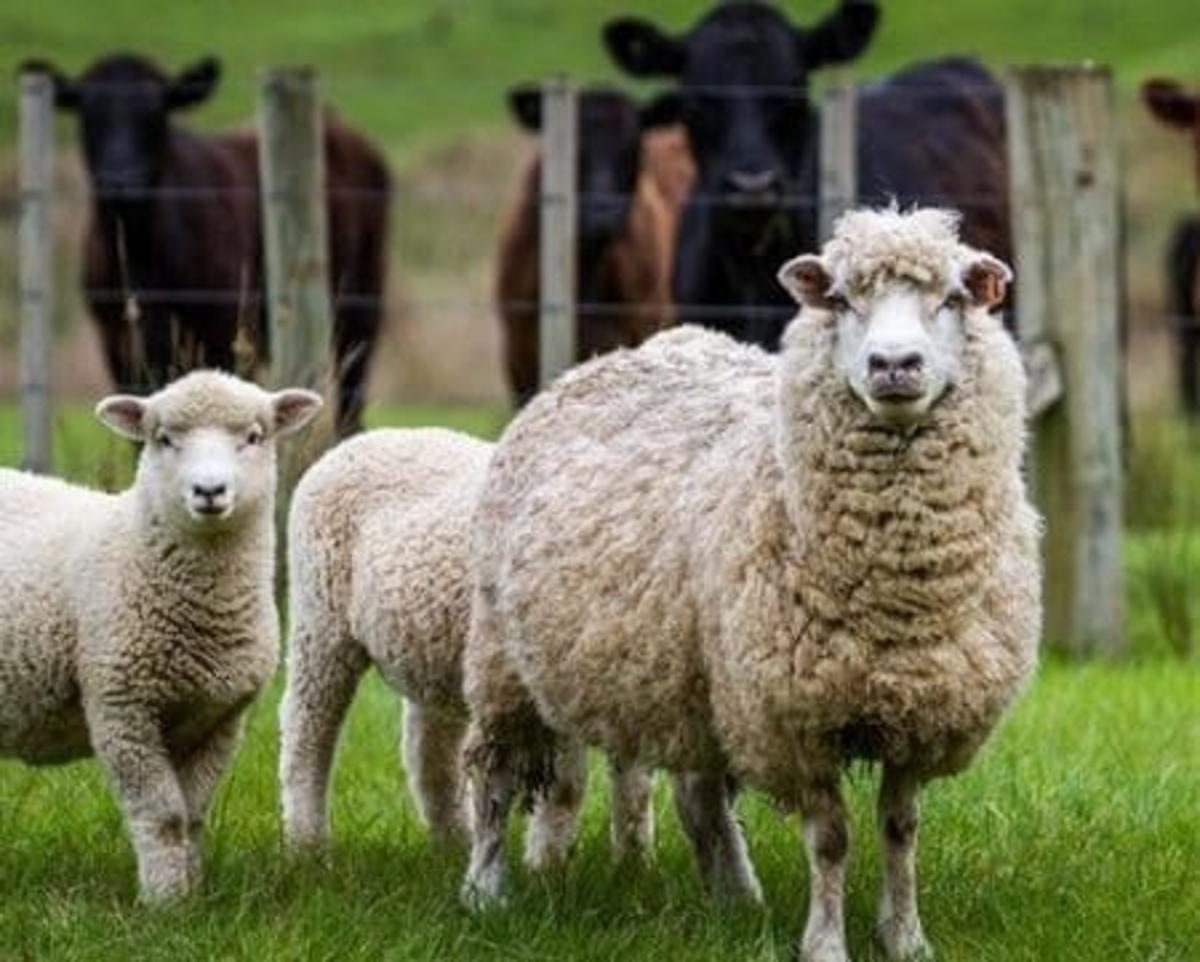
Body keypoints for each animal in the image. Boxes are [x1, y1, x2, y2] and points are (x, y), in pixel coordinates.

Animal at [0, 370, 321, 902]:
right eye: (164, 439)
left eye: (254, 437)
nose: (209, 490)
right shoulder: (122, 708)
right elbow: (163, 815)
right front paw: (165, 903)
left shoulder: (220, 718)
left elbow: (192, 815)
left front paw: (192, 897)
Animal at [278, 428, 656, 866]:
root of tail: (366, 439)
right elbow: (566, 787)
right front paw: (547, 867)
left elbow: (634, 787)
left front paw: (635, 864)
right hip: (320, 619)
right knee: (307, 731)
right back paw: (307, 846)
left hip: (431, 647)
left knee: (430, 754)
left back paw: (454, 843)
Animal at [461, 206, 1041, 962]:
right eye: (842, 301)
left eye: (951, 299)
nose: (893, 365)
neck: (896, 599)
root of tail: (609, 358)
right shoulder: (794, 717)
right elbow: (831, 839)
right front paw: (825, 943)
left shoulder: (922, 709)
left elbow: (900, 829)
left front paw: (906, 937)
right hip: (504, 659)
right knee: (495, 775)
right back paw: (483, 890)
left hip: (697, 679)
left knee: (701, 797)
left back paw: (736, 896)